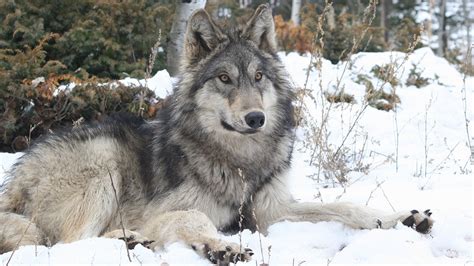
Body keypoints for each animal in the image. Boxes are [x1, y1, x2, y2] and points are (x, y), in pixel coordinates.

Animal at [0, 5, 434, 264]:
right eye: (224, 79)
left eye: (258, 77)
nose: (256, 118)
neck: (240, 161)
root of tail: (14, 180)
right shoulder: (165, 211)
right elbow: (194, 216)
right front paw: (222, 245)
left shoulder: (269, 210)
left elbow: (346, 207)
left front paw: (401, 219)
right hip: (103, 160)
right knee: (67, 244)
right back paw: (133, 241)